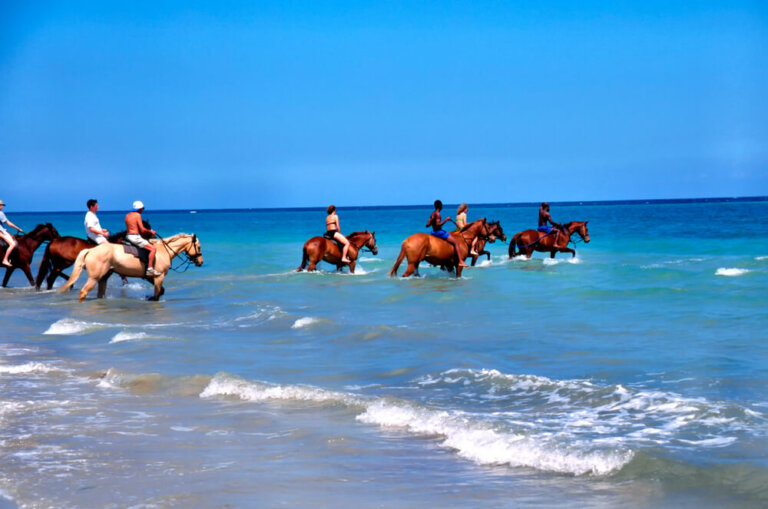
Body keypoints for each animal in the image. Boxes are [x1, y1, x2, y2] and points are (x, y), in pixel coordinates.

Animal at [57, 233, 203, 302]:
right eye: (199, 247)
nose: (200, 262)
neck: (163, 251)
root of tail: (91, 250)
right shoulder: (158, 277)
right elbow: (158, 293)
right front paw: (152, 299)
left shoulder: (151, 277)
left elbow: (161, 291)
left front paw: (149, 298)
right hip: (94, 277)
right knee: (84, 292)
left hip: (104, 277)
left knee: (100, 294)